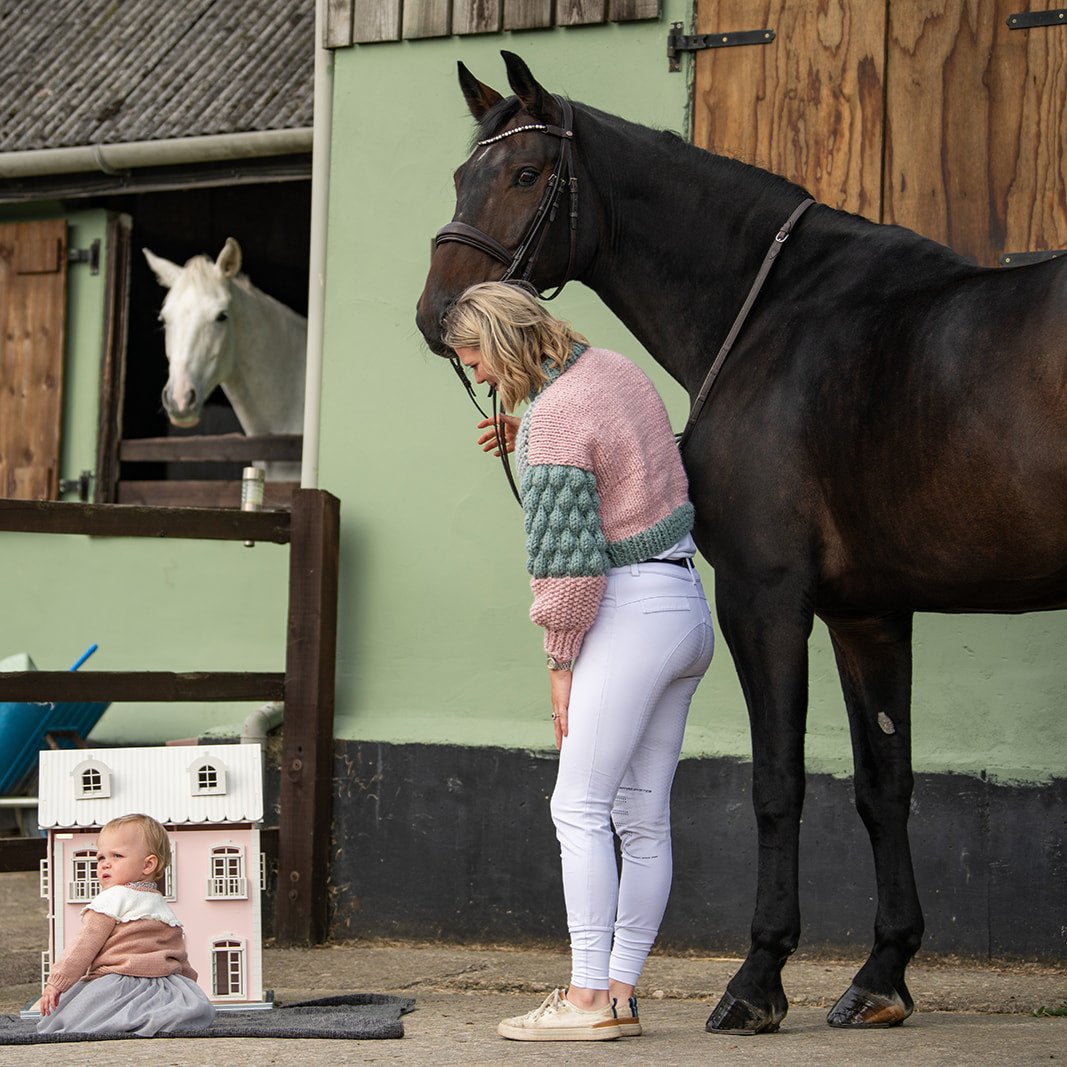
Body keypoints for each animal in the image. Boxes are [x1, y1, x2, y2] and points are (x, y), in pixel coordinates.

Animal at [413, 52, 1067, 1032]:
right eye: (463, 174)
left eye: (525, 174)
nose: (436, 316)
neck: (777, 314)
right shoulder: (867, 612)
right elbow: (883, 783)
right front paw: (881, 973)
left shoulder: (763, 596)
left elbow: (777, 783)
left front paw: (756, 978)